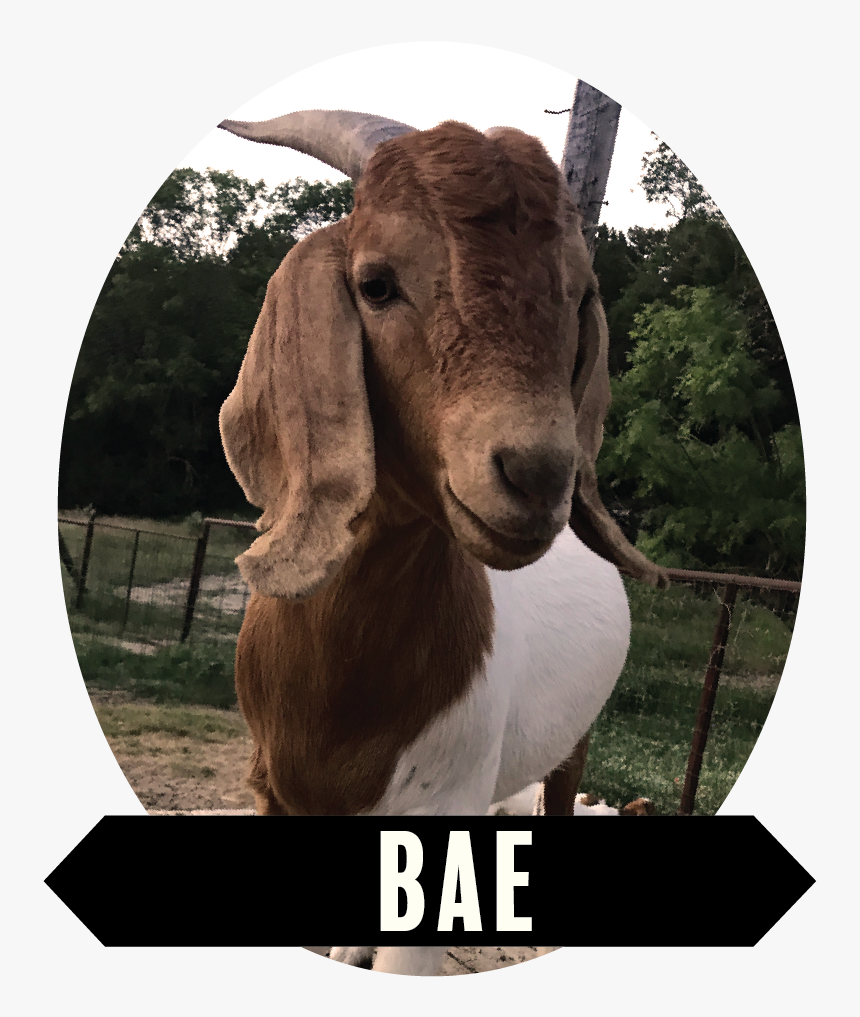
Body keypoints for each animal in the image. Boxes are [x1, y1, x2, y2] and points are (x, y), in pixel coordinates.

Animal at [217, 110, 667, 975]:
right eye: (376, 283)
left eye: (577, 295)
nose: (539, 475)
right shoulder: (275, 792)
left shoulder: (444, 799)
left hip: (573, 745)